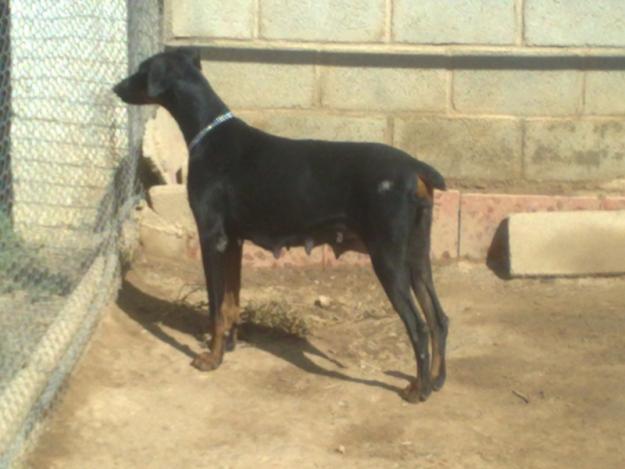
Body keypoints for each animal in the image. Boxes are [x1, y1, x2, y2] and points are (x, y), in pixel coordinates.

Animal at [113, 47, 448, 400]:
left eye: (142, 69)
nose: (115, 88)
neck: (208, 133)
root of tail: (416, 168)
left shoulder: (211, 237)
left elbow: (216, 307)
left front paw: (211, 358)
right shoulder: (233, 241)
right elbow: (231, 302)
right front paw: (229, 346)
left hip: (387, 257)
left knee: (417, 325)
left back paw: (419, 389)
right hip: (417, 255)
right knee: (438, 318)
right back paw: (437, 379)